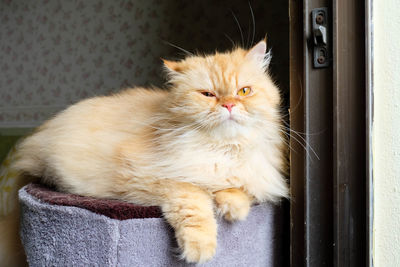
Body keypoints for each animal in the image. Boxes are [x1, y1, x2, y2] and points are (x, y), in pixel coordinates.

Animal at [0, 40, 288, 266]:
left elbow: (239, 188)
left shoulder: (255, 174)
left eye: (244, 91)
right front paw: (199, 249)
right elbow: (194, 202)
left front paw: (233, 209)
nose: (228, 105)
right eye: (208, 94)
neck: (221, 149)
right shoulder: (156, 178)